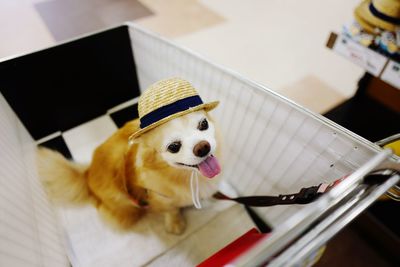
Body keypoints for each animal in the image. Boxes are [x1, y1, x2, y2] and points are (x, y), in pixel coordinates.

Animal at [37, 78, 222, 236]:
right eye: (174, 147)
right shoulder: (157, 198)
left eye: (203, 124)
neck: (189, 176)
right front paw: (175, 223)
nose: (202, 147)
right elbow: (171, 209)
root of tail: (86, 173)